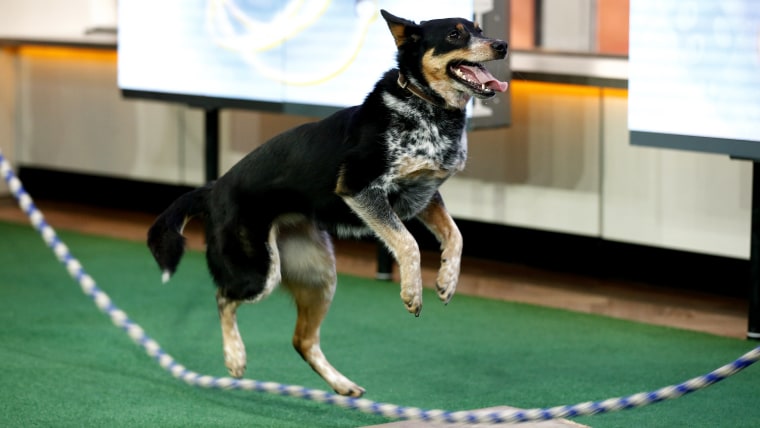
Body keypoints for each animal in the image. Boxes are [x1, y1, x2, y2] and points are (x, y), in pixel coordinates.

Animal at [146, 10, 508, 398]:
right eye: (455, 35)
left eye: (479, 30)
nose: (502, 45)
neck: (426, 107)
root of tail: (212, 189)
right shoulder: (360, 190)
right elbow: (409, 244)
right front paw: (413, 292)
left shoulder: (423, 196)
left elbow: (456, 236)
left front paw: (447, 281)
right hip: (258, 271)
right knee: (223, 297)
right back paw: (235, 357)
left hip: (318, 274)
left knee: (301, 340)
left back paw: (342, 385)